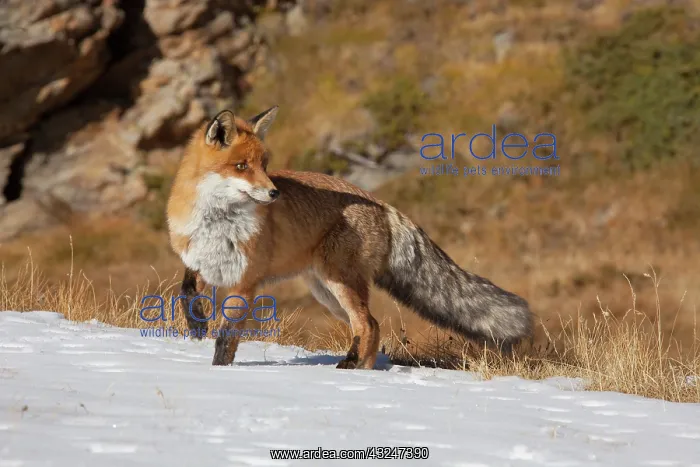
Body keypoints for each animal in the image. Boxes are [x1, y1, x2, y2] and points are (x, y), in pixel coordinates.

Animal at [166, 106, 533, 369]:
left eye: (265, 165)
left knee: (368, 324)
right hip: (327, 292)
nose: (274, 193)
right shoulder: (201, 259)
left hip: (339, 283)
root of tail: (381, 203)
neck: (217, 221)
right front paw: (196, 325)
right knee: (373, 326)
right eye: (242, 166)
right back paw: (362, 372)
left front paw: (219, 372)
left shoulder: (246, 281)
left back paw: (350, 367)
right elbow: (186, 289)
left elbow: (227, 339)